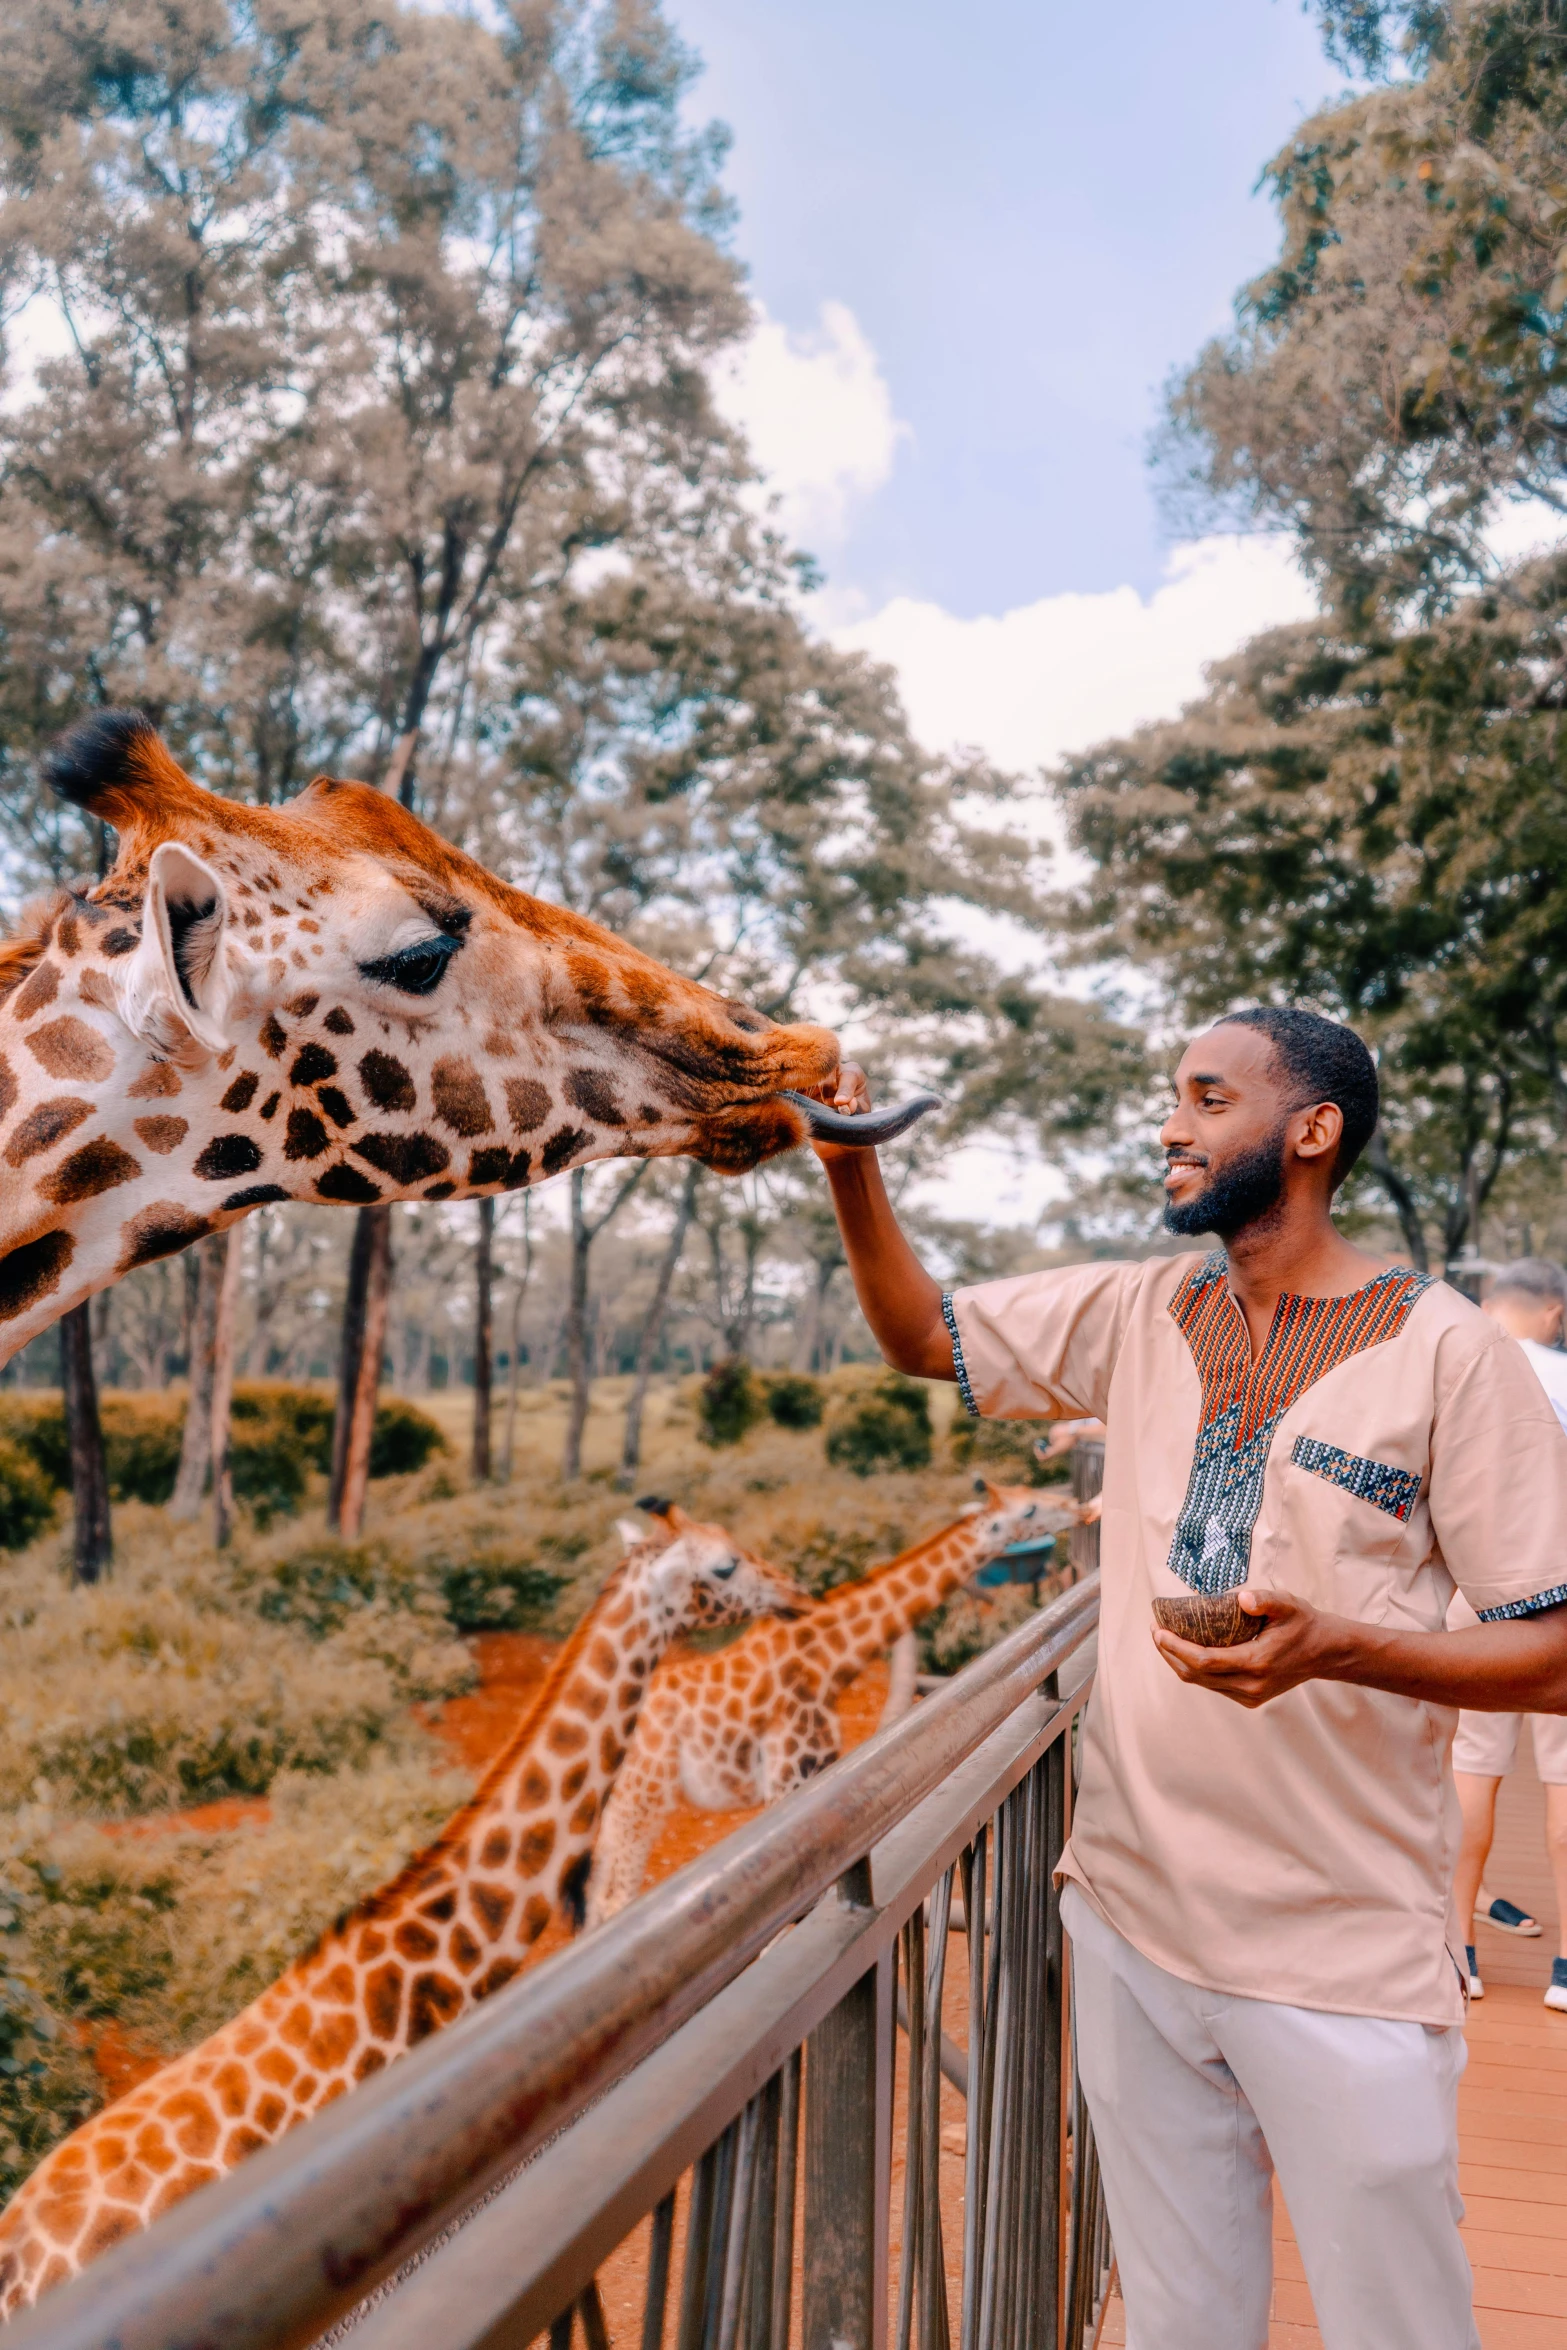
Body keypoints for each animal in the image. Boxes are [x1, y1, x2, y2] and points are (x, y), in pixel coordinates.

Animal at [584, 1485, 1080, 1926]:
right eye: (1030, 1508)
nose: (1078, 1506)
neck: (828, 1658)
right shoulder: (785, 1779)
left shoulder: (815, 1771)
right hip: (641, 1801)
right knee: (614, 1897)